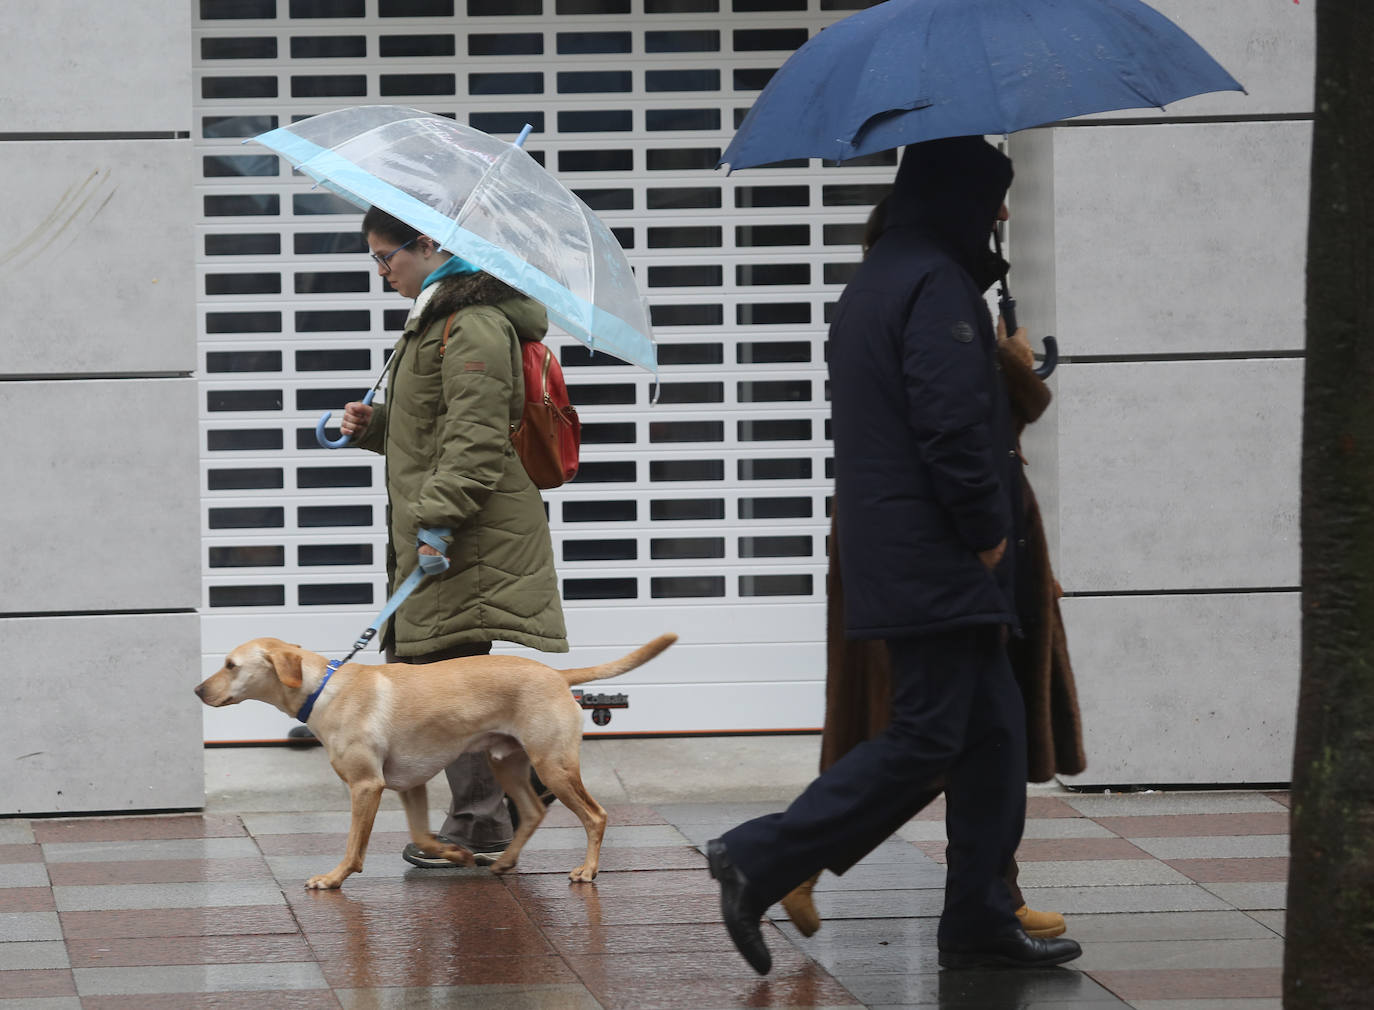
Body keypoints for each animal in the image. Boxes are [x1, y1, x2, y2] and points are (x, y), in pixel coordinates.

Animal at [196, 634, 678, 890]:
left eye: (230, 665)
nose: (198, 690)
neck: (324, 689)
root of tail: (558, 675)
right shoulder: (410, 784)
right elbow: (422, 837)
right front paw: (456, 854)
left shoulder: (366, 785)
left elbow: (353, 846)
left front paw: (334, 879)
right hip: (506, 762)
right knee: (533, 811)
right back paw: (502, 861)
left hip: (553, 765)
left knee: (596, 815)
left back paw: (588, 869)